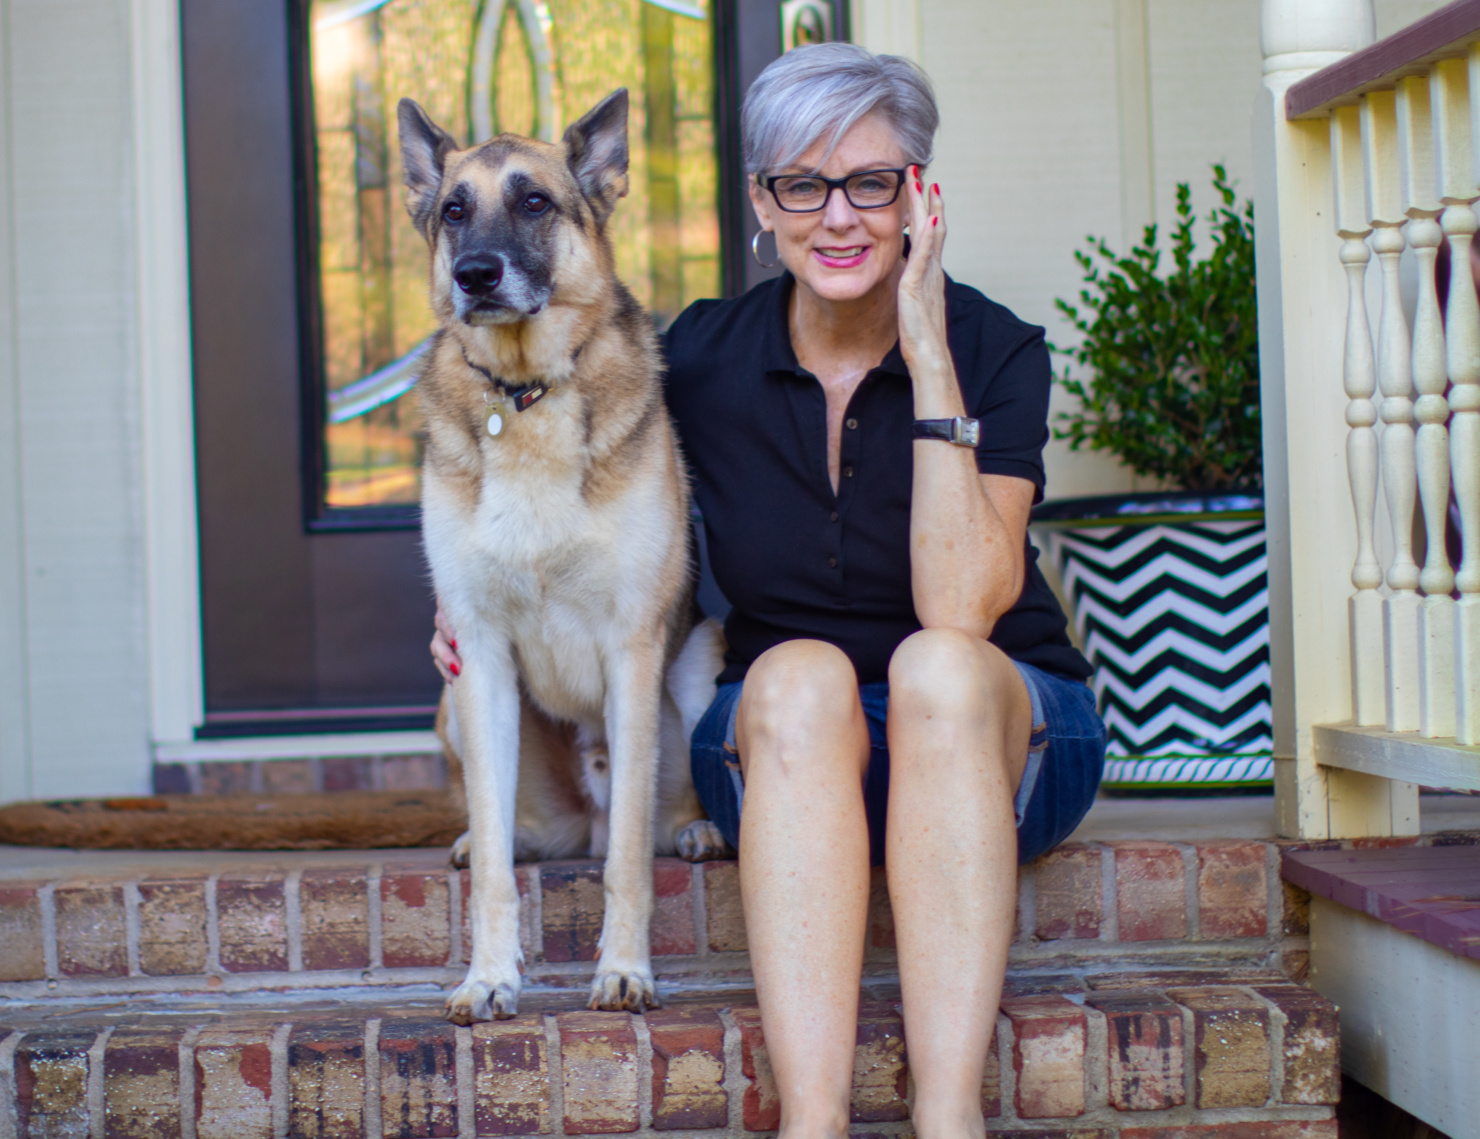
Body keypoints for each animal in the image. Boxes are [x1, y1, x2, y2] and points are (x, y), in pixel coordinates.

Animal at [399, 93, 728, 1023]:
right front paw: (490, 975)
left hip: (698, 675)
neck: (525, 395)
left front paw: (623, 970)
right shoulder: (476, 654)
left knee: (647, 821)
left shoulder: (633, 649)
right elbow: (497, 876)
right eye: (454, 210)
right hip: (452, 702)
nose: (475, 274)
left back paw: (696, 827)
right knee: (515, 835)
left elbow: (626, 866)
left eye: (536, 202)